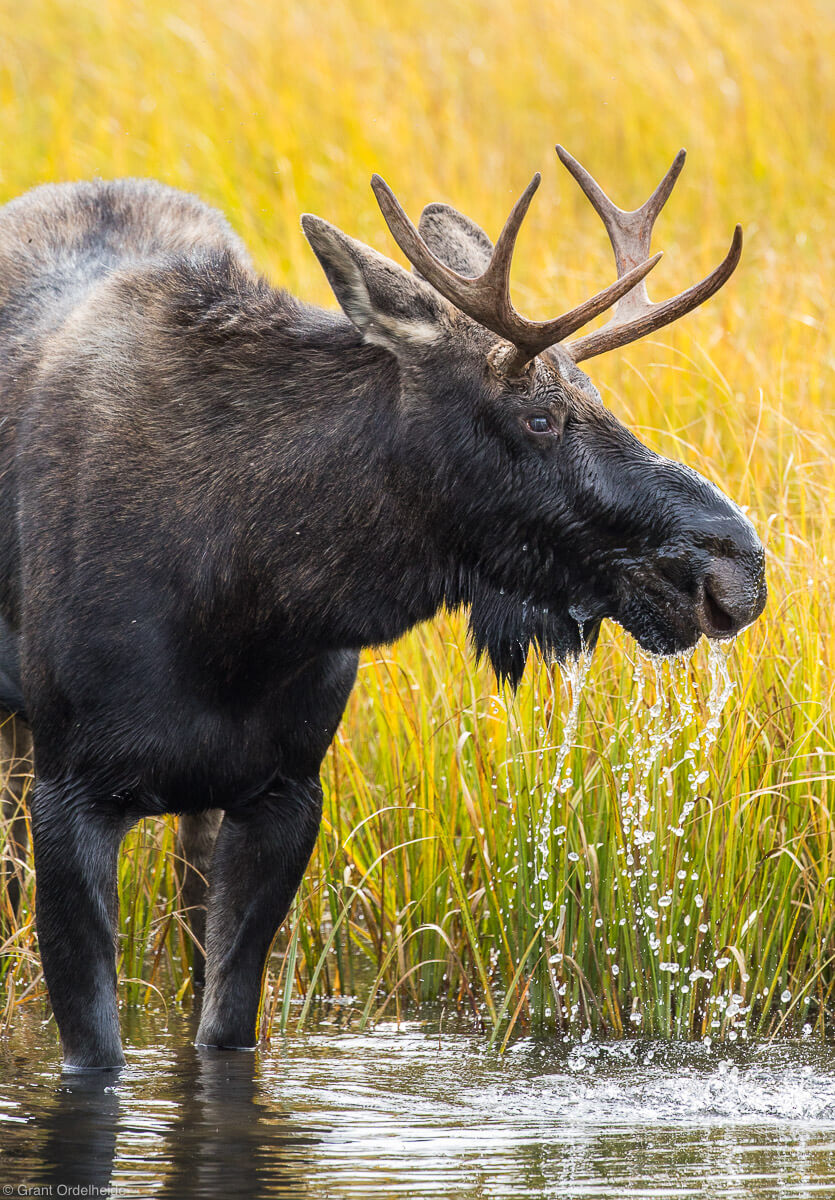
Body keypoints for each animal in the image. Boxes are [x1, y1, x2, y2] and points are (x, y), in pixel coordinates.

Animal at [0, 145, 766, 1070]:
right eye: (539, 417)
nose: (737, 563)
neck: (242, 604)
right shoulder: (71, 790)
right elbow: (94, 1047)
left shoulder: (285, 791)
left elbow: (225, 1024)